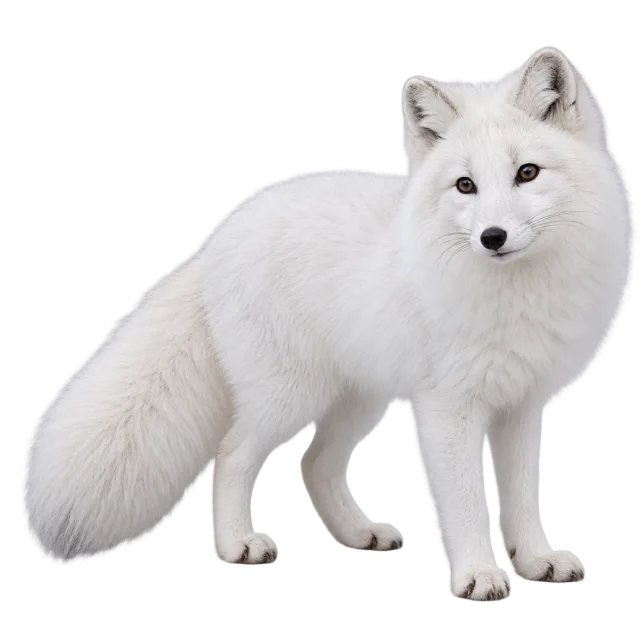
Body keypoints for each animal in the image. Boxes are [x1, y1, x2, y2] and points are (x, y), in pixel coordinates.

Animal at [21, 47, 636, 599]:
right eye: (466, 185)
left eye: (527, 173)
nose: (492, 237)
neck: (517, 294)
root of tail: (213, 244)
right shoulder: (450, 408)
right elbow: (465, 501)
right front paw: (479, 576)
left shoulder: (521, 406)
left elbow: (523, 496)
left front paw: (534, 561)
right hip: (289, 396)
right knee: (232, 454)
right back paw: (239, 544)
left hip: (357, 396)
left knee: (313, 464)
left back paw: (361, 534)